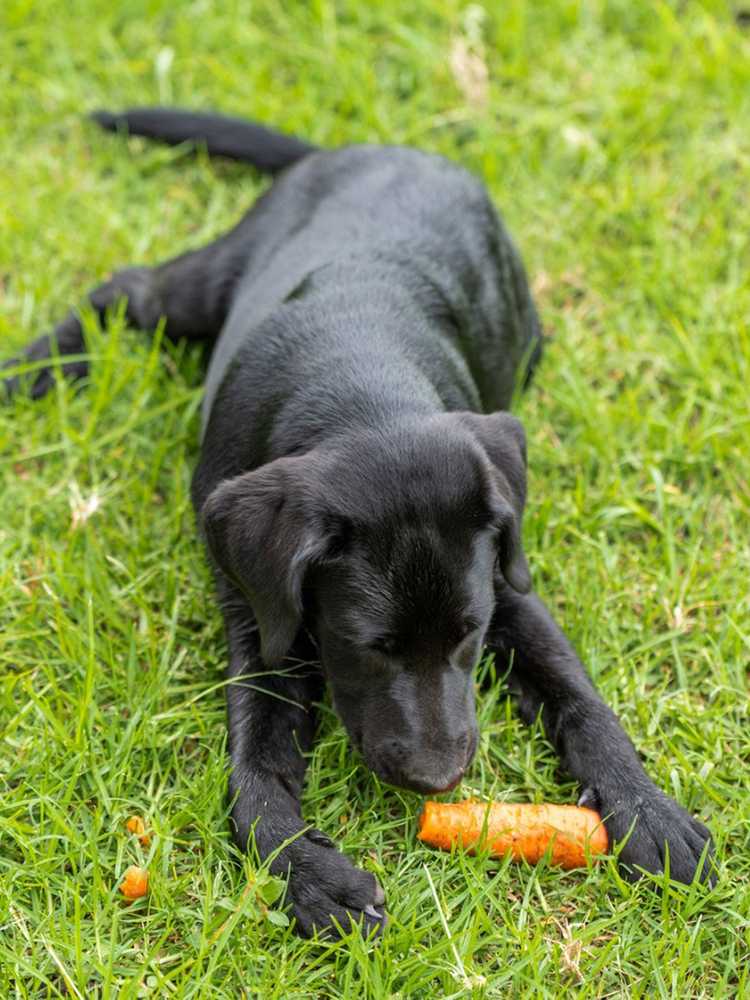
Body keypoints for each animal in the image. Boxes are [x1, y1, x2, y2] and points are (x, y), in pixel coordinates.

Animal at [1, 109, 716, 936]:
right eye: (368, 645)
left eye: (470, 634)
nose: (439, 781)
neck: (358, 382)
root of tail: (368, 149)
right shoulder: (260, 616)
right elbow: (253, 772)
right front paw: (309, 874)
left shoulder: (510, 586)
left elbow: (582, 698)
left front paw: (648, 810)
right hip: (212, 280)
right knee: (130, 290)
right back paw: (27, 371)